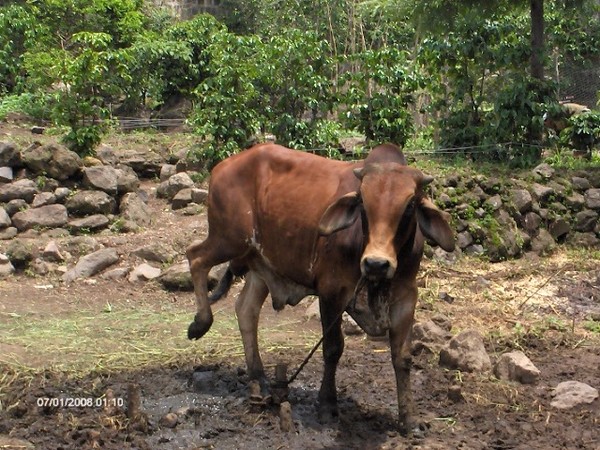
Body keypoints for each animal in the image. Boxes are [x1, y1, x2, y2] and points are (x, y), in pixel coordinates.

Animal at [185, 143, 452, 432]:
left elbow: (402, 357)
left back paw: (260, 379)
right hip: (228, 239)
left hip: (258, 261)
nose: (376, 264)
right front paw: (327, 405)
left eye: (410, 205)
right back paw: (200, 323)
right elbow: (333, 348)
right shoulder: (331, 292)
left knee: (246, 310)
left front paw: (409, 418)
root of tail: (222, 166)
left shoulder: (406, 296)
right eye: (363, 203)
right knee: (195, 257)